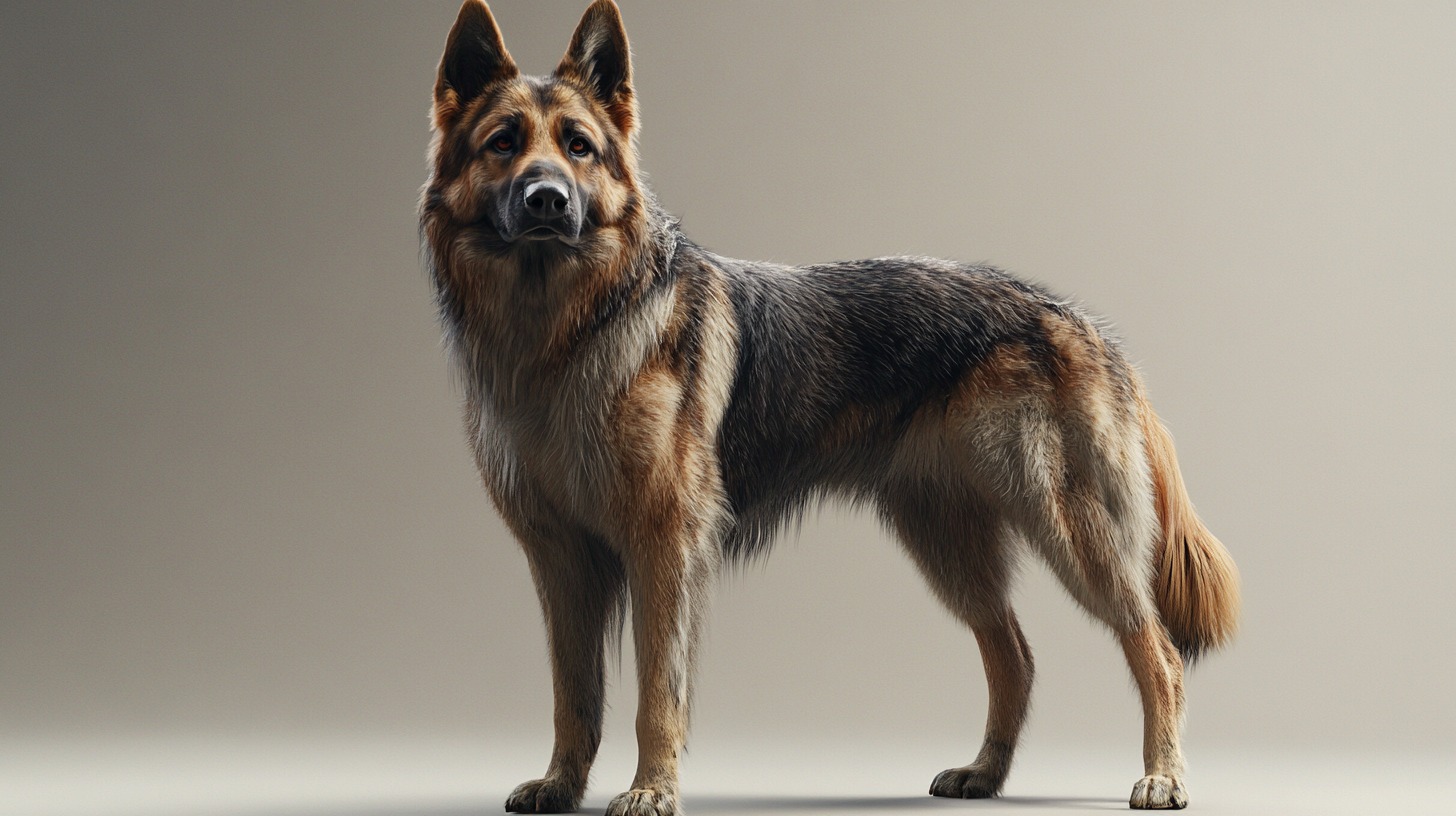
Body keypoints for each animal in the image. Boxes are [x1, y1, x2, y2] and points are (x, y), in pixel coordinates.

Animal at [422, 3, 1240, 810]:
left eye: (579, 148)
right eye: (503, 143)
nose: (548, 200)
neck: (563, 334)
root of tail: (1083, 324)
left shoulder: (664, 549)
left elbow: (659, 690)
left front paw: (651, 790)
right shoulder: (560, 561)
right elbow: (573, 694)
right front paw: (562, 784)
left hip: (1070, 532)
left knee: (1157, 650)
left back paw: (1163, 776)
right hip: (950, 549)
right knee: (1016, 656)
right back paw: (985, 773)